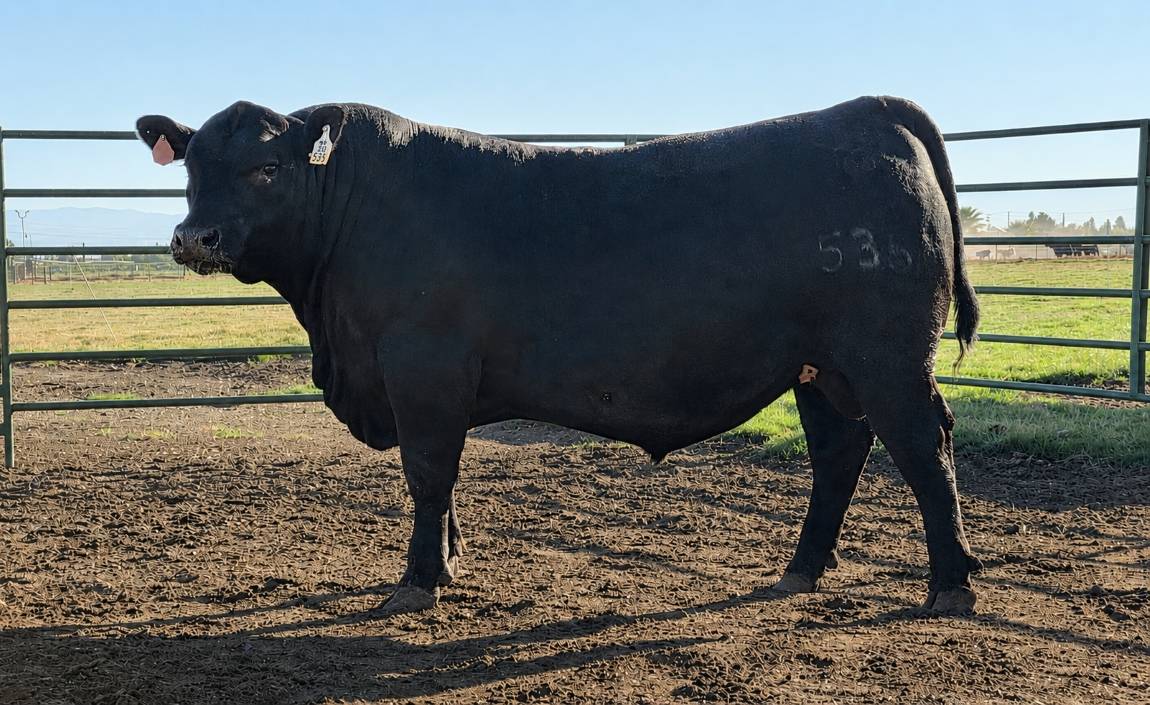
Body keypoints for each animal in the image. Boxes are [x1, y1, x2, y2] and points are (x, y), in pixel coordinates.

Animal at [136, 95, 983, 615]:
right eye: (191, 168)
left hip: (889, 361)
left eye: (267, 166)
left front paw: (417, 582)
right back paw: (802, 567)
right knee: (839, 453)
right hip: (821, 369)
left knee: (925, 449)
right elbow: (445, 478)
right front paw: (450, 561)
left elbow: (427, 473)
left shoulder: (423, 370)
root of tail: (869, 108)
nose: (193, 238)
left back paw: (951, 585)